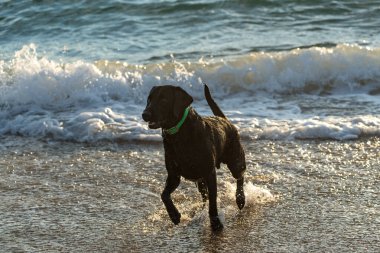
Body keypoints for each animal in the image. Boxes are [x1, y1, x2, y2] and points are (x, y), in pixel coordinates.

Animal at [141, 85, 245, 231]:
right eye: (149, 99)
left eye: (163, 100)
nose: (145, 114)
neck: (179, 134)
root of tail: (224, 119)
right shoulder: (173, 175)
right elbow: (164, 195)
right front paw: (174, 215)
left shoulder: (209, 173)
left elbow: (213, 202)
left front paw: (216, 223)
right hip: (200, 181)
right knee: (204, 195)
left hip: (235, 160)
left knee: (240, 176)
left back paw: (240, 198)